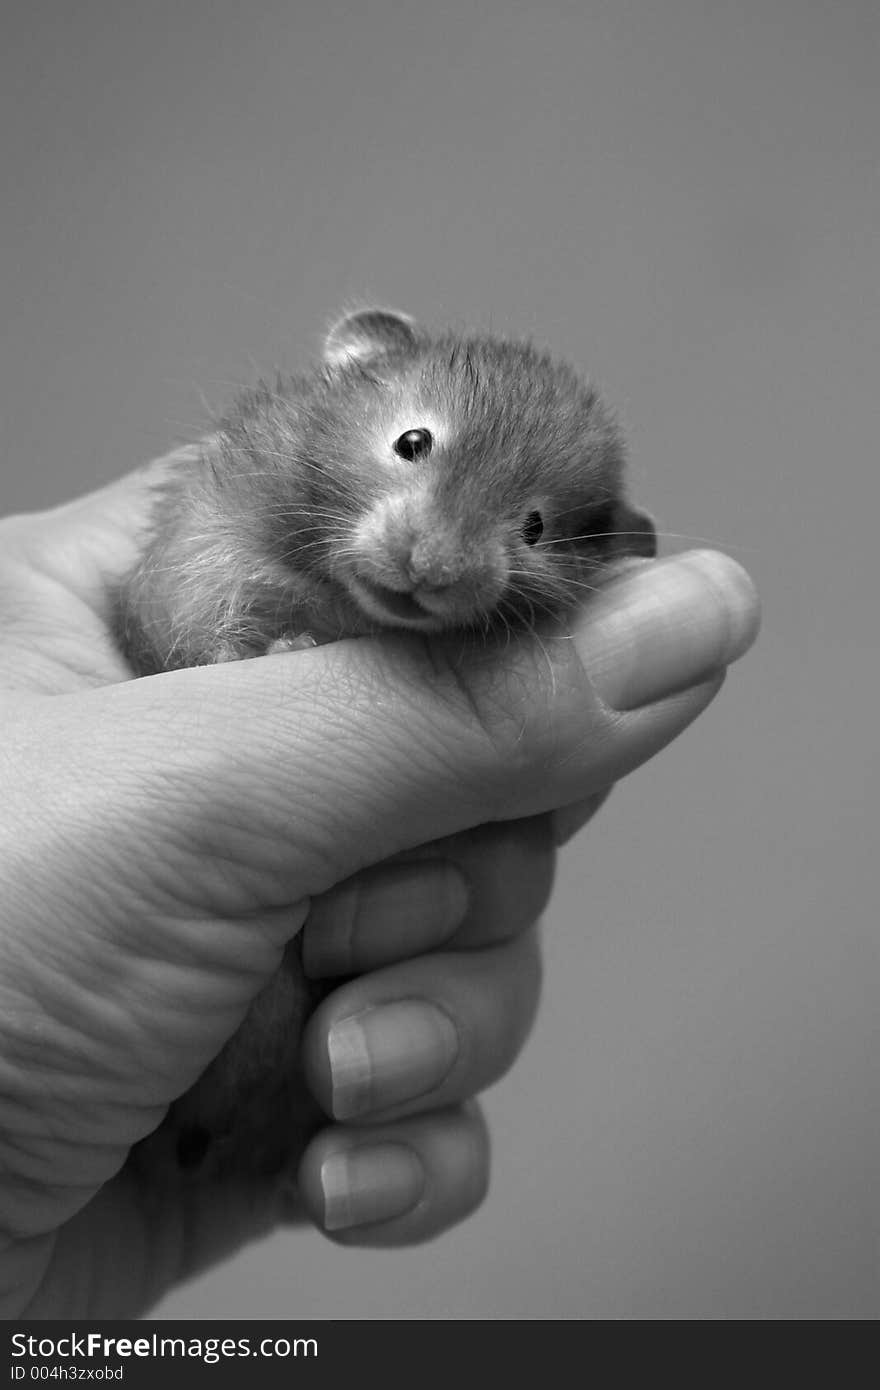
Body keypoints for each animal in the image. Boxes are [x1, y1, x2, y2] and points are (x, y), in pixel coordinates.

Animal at [121, 309, 653, 1178]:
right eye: (412, 441)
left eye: (535, 527)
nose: (428, 569)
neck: (347, 600)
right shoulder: (195, 557)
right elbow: (204, 629)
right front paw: (281, 648)